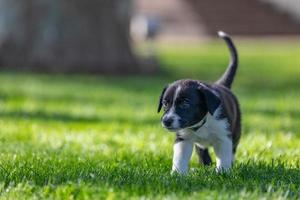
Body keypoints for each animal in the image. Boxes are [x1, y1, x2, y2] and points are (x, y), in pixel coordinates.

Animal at [157, 31, 241, 173]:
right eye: (165, 104)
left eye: (185, 104)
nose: (166, 121)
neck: (201, 124)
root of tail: (221, 84)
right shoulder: (183, 139)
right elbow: (179, 158)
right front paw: (177, 173)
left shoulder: (224, 137)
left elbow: (224, 157)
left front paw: (223, 172)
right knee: (202, 151)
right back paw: (204, 165)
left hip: (236, 131)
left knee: (233, 150)